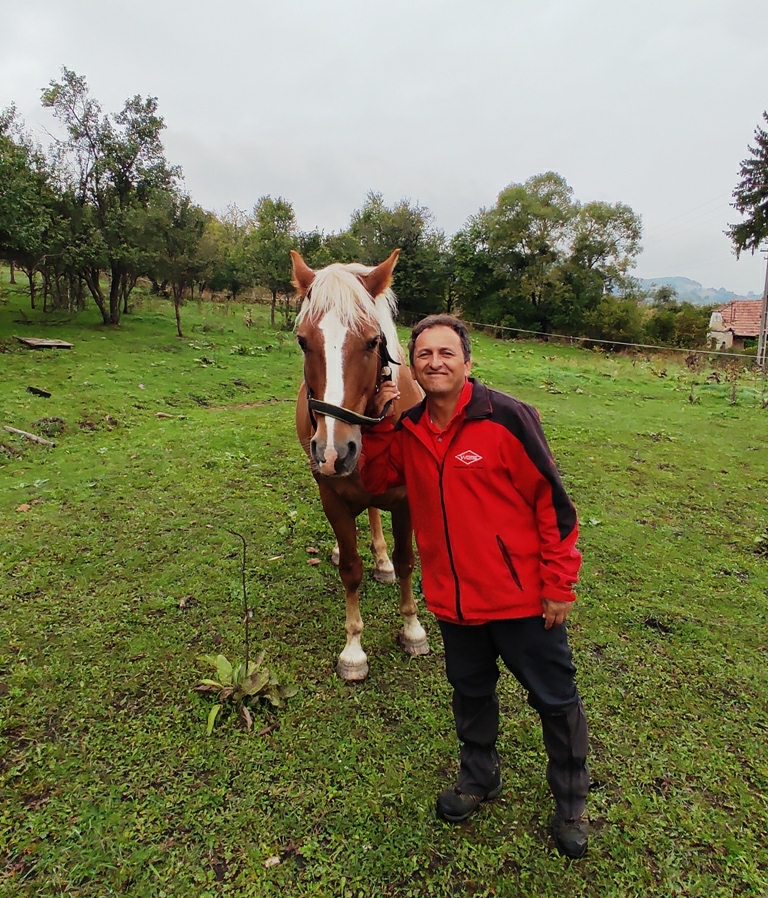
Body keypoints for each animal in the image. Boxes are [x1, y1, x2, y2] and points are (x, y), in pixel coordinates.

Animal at [291, 248, 430, 681]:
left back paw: (381, 562)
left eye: (373, 341)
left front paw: (412, 629)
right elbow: (351, 569)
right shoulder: (332, 496)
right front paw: (353, 650)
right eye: (303, 342)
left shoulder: (405, 501)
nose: (334, 452)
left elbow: (406, 562)